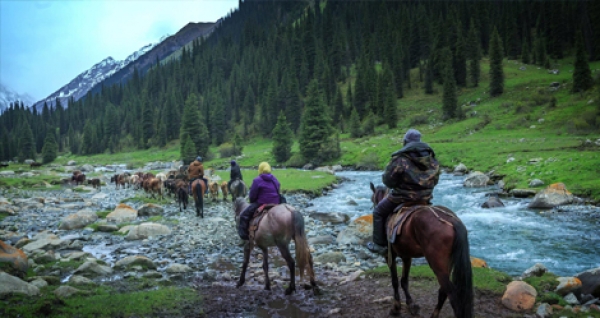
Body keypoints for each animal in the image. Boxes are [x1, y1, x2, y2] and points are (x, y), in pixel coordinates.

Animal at [368, 181, 472, 318]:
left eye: (372, 199)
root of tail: (452, 221)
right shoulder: (407, 256)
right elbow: (404, 281)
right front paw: (411, 306)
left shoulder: (389, 255)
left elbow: (395, 281)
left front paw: (396, 308)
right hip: (447, 264)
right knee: (443, 292)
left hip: (437, 265)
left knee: (452, 295)